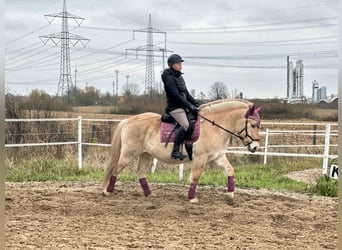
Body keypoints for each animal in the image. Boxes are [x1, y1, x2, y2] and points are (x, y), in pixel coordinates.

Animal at [103, 98, 260, 203]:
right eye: (253, 125)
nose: (255, 147)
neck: (214, 127)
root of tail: (128, 120)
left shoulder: (218, 157)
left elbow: (230, 170)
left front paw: (230, 195)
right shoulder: (200, 158)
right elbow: (195, 177)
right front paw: (192, 198)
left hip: (145, 154)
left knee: (141, 173)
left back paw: (149, 194)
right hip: (129, 153)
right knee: (115, 169)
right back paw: (107, 191)